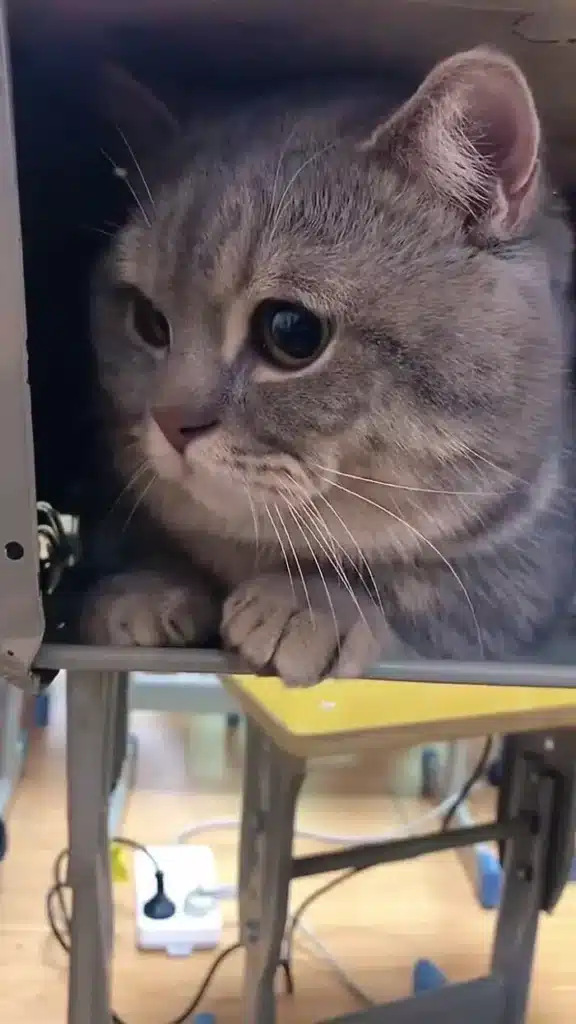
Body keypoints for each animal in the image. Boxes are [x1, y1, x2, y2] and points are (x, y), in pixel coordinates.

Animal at [80, 49, 573, 688]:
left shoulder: (531, 570)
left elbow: (438, 586)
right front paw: (145, 581)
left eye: (291, 331)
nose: (169, 423)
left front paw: (315, 600)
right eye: (148, 321)